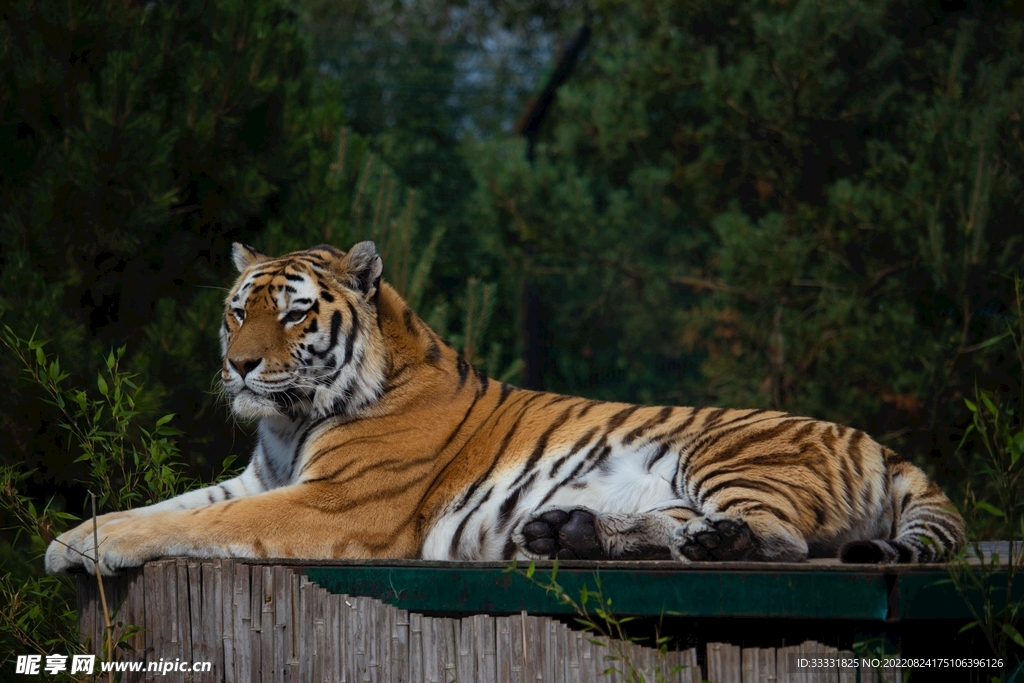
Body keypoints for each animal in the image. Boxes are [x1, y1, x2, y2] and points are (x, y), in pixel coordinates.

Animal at [46, 241, 965, 575]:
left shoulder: (329, 505)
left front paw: (88, 547)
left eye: (297, 314)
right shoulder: (258, 480)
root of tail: (882, 443)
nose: (237, 366)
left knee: (783, 538)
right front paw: (71, 534)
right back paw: (570, 531)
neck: (289, 418)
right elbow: (168, 505)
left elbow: (197, 524)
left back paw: (712, 541)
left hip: (726, 451)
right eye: (240, 310)